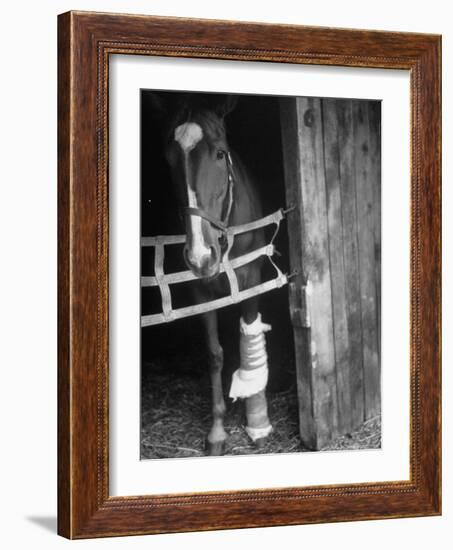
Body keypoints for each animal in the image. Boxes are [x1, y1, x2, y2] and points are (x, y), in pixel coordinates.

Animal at [148, 95, 272, 458]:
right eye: (168, 159)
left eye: (219, 153)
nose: (200, 256)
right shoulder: (199, 292)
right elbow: (214, 354)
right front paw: (217, 431)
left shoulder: (252, 281)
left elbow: (248, 335)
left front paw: (258, 423)